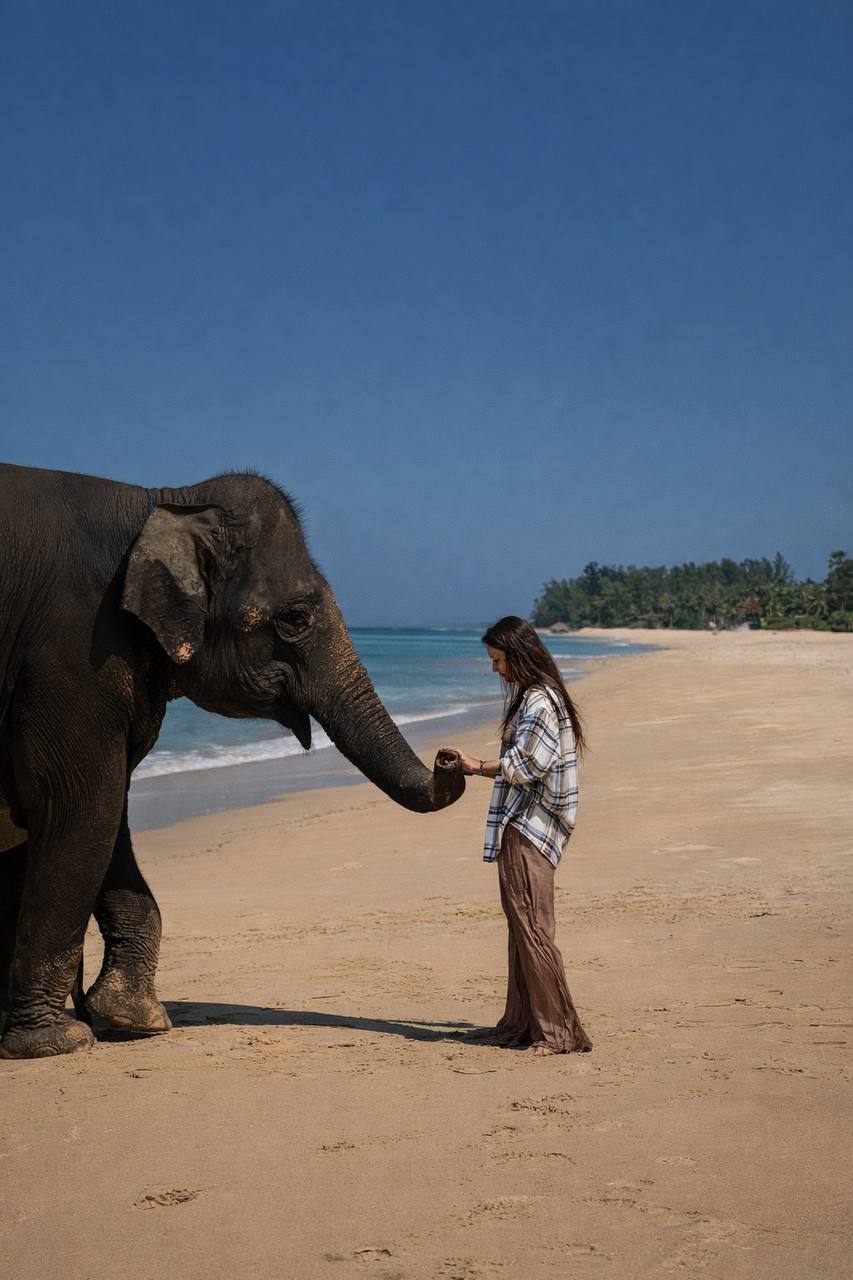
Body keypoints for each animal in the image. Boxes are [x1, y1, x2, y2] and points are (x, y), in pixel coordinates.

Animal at [0, 463, 464, 1059]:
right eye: (295, 617)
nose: (451, 756)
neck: (163, 501)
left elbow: (102, 812)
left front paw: (132, 1016)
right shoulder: (76, 647)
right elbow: (80, 805)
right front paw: (56, 1041)